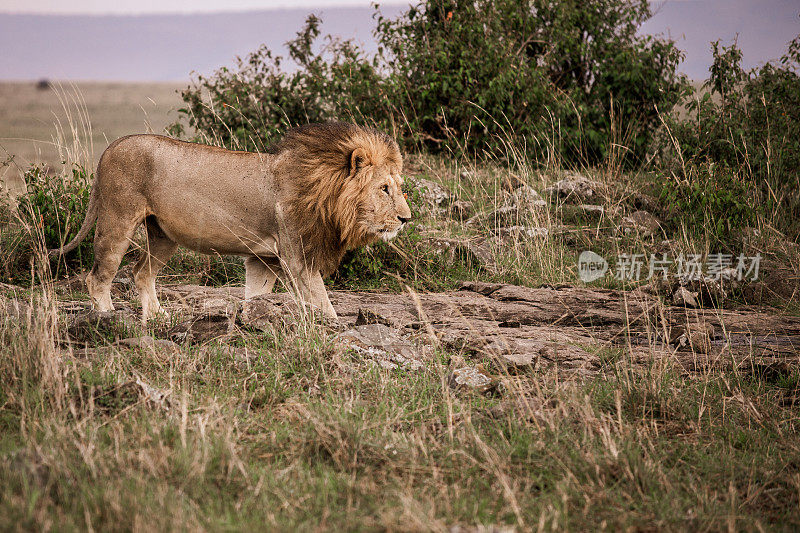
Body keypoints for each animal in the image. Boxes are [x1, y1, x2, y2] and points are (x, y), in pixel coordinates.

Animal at [50, 121, 412, 320]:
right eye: (384, 188)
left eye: (399, 186)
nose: (406, 219)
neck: (324, 191)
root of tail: (110, 147)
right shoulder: (298, 258)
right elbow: (323, 304)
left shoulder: (264, 259)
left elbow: (256, 296)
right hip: (118, 218)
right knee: (98, 276)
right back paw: (107, 317)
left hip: (164, 235)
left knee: (141, 273)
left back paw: (156, 317)